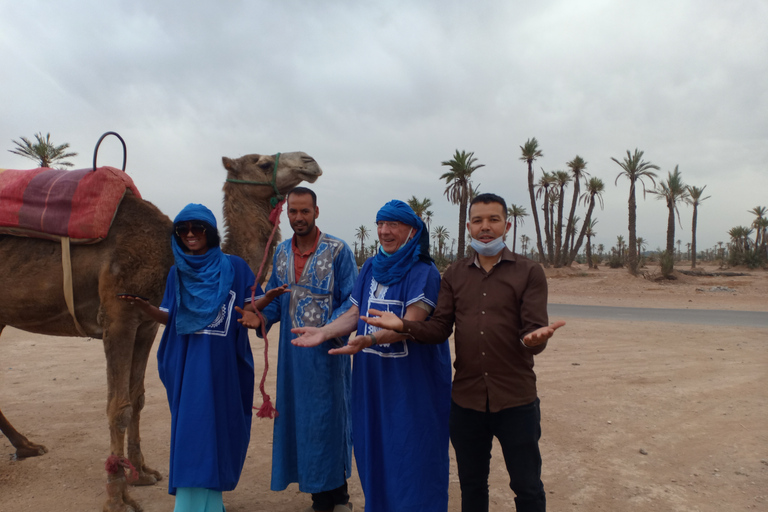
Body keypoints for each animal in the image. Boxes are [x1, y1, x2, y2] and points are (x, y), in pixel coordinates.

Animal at [0, 151, 322, 512]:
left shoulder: (147, 323)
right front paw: (118, 499)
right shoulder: (119, 316)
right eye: (263, 163)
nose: (309, 161)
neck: (173, 256)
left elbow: (137, 398)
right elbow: (118, 407)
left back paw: (27, 446)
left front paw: (141, 473)